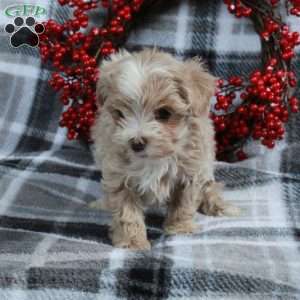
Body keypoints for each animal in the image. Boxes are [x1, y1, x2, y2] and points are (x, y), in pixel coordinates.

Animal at [91, 49, 239, 250]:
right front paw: (132, 242)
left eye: (164, 113)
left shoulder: (191, 172)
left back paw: (219, 205)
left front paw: (179, 228)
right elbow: (126, 212)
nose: (136, 143)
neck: (154, 158)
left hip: (206, 167)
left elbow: (183, 203)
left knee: (210, 187)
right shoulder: (118, 175)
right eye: (120, 114)